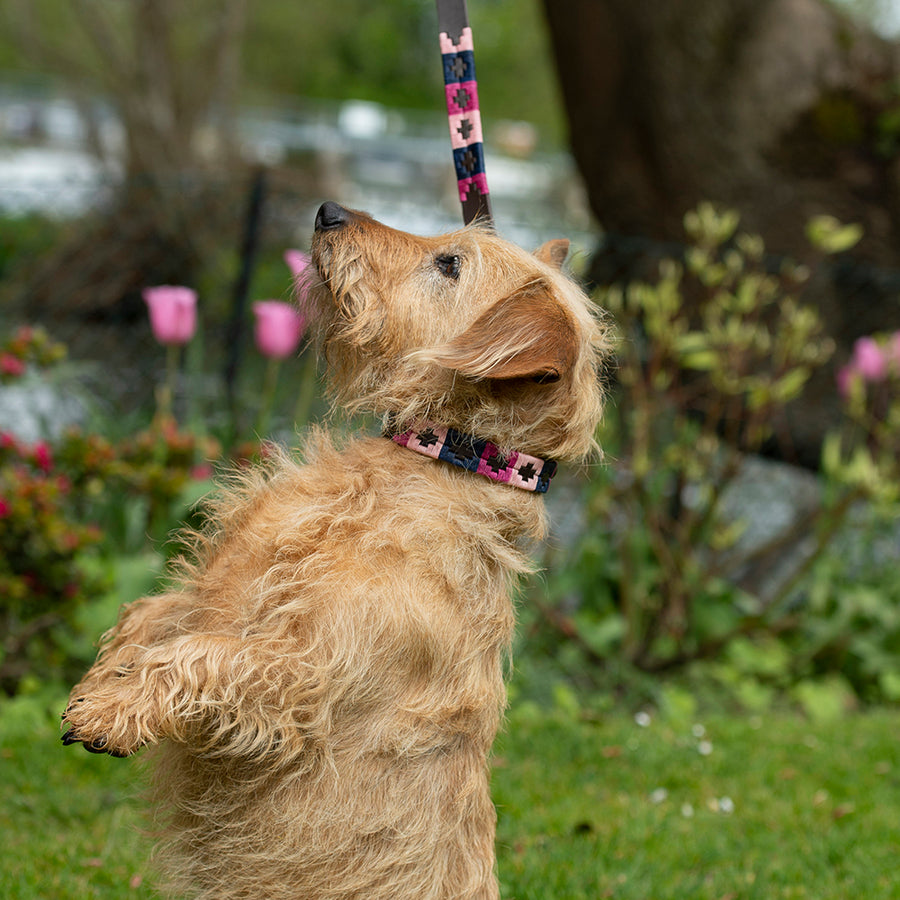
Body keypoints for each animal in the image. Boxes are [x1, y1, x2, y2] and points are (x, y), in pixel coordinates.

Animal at [63, 204, 608, 900]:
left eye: (450, 263)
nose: (329, 212)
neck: (434, 460)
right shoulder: (213, 586)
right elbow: (148, 614)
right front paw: (101, 686)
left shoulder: (299, 671)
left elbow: (199, 653)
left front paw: (111, 711)